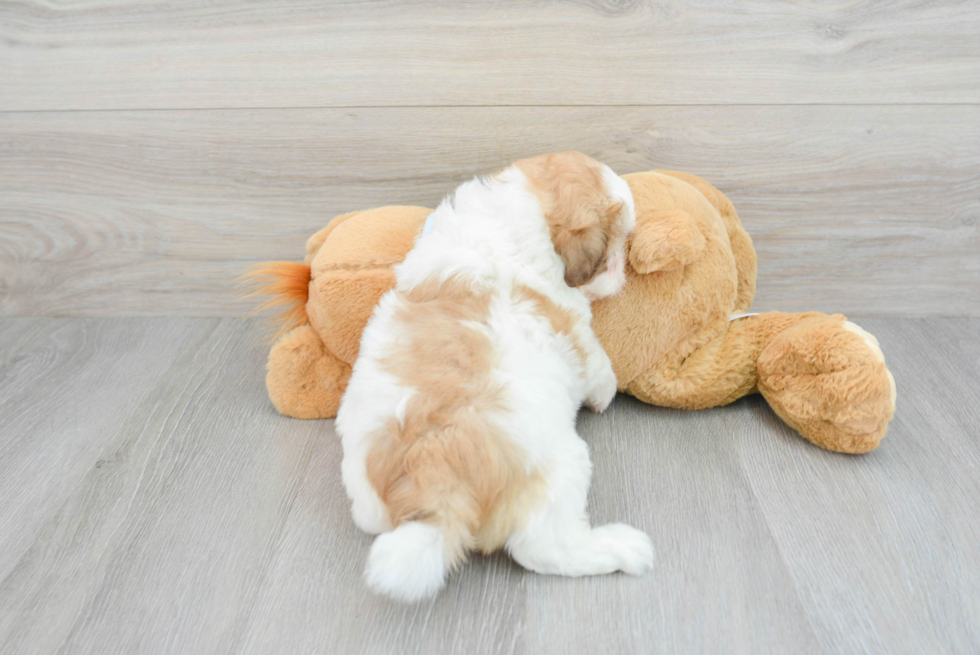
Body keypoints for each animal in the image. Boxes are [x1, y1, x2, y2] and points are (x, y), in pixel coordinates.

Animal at [336, 151, 652, 604]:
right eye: (614, 245)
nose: (623, 267)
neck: (511, 219)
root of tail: (433, 483)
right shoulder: (576, 327)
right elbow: (597, 363)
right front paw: (605, 394)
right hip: (562, 467)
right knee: (543, 548)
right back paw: (621, 547)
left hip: (366, 494)